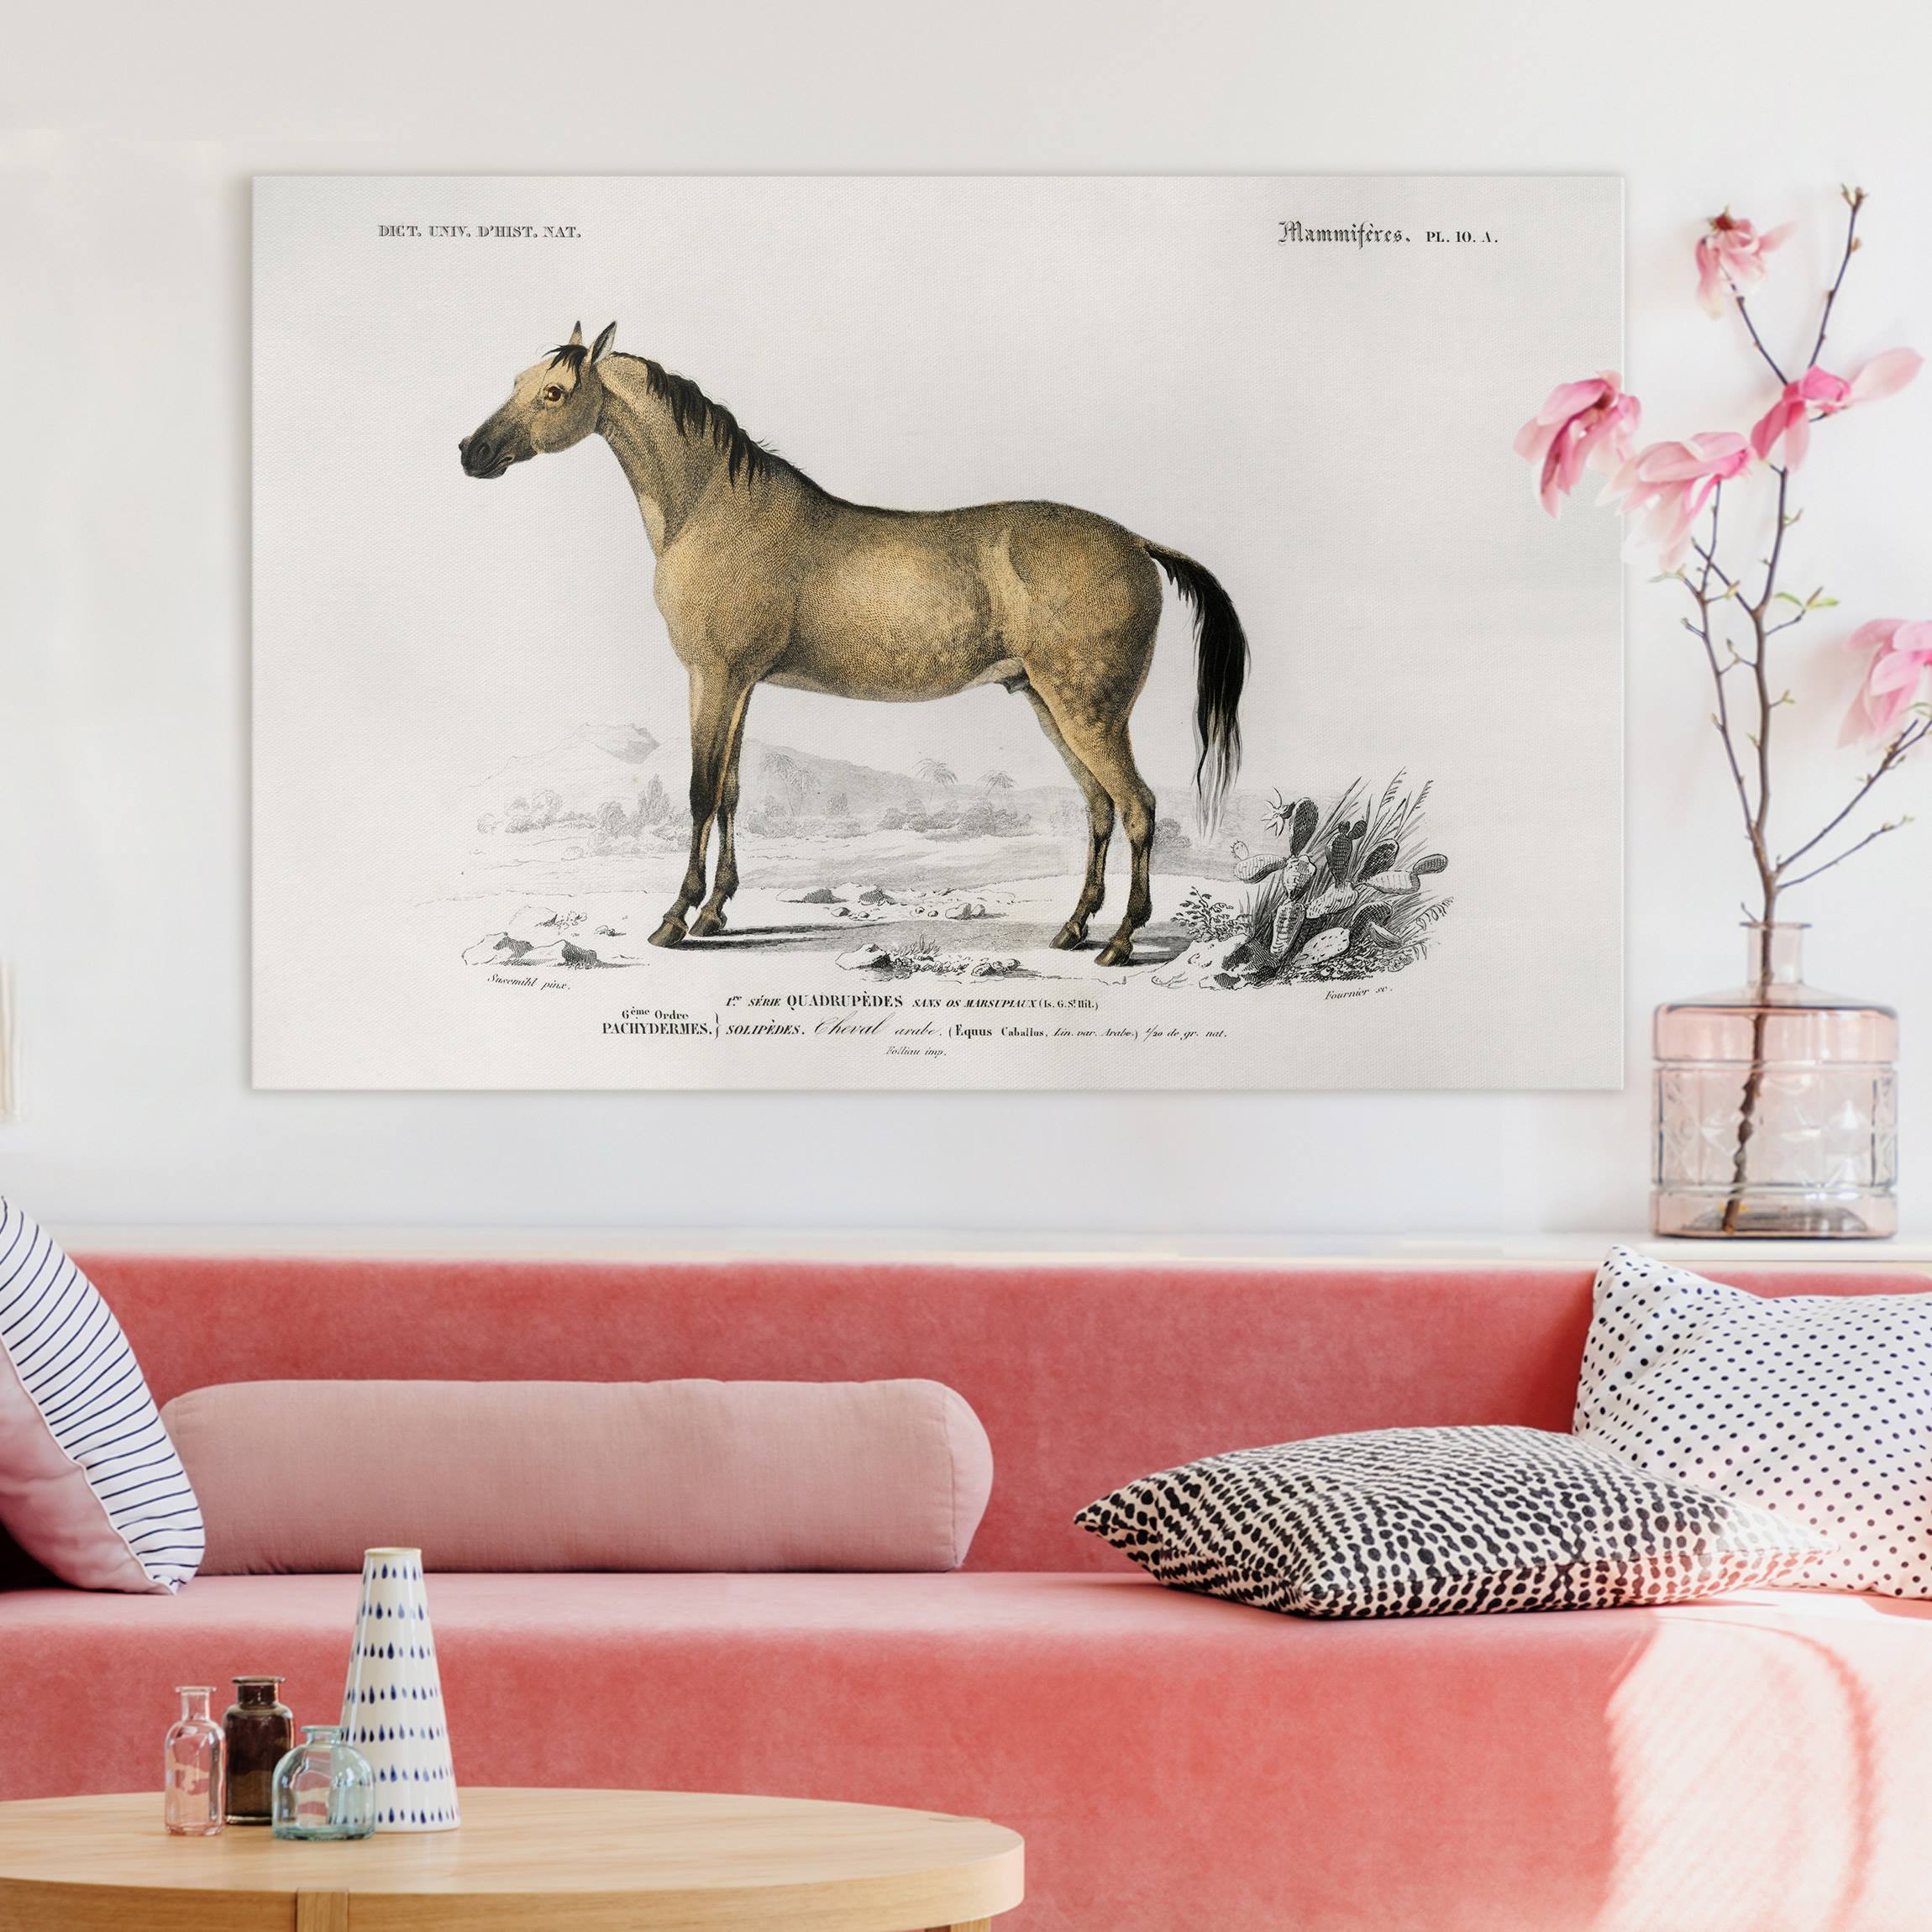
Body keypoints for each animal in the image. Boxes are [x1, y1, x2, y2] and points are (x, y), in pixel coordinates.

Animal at [459, 321, 1249, 966]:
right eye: (518, 381)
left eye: (555, 391)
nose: (472, 452)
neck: (714, 508)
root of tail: (1136, 543)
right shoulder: (740, 685)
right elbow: (733, 792)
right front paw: (716, 912)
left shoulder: (712, 677)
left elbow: (699, 792)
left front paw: (675, 918)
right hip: (1050, 705)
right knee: (1100, 808)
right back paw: (1074, 928)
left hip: (1088, 710)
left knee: (1139, 806)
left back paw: (1120, 941)